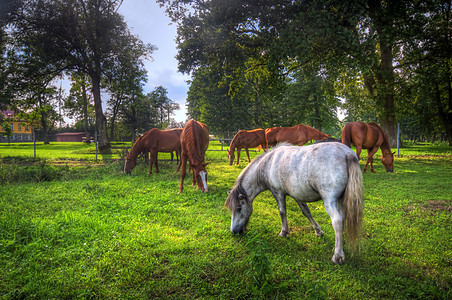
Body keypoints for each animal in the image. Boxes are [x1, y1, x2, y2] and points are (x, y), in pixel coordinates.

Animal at [226, 142, 364, 264]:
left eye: (239, 208)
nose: (234, 231)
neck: (268, 164)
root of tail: (347, 154)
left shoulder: (278, 193)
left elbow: (282, 212)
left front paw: (284, 232)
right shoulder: (297, 195)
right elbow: (306, 212)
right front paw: (318, 231)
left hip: (329, 201)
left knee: (337, 221)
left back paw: (338, 255)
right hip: (341, 199)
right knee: (343, 218)